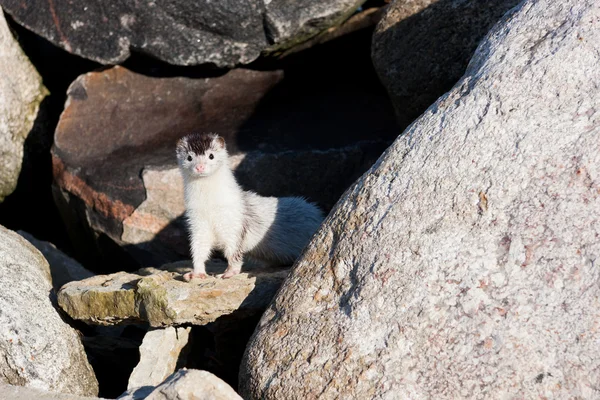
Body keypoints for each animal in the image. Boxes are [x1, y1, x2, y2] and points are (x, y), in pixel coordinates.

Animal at [176, 133, 326, 280]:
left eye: (211, 155)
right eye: (189, 157)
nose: (200, 167)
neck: (209, 206)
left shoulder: (233, 222)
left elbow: (234, 250)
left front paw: (229, 272)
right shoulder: (197, 222)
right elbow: (199, 248)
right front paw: (195, 273)